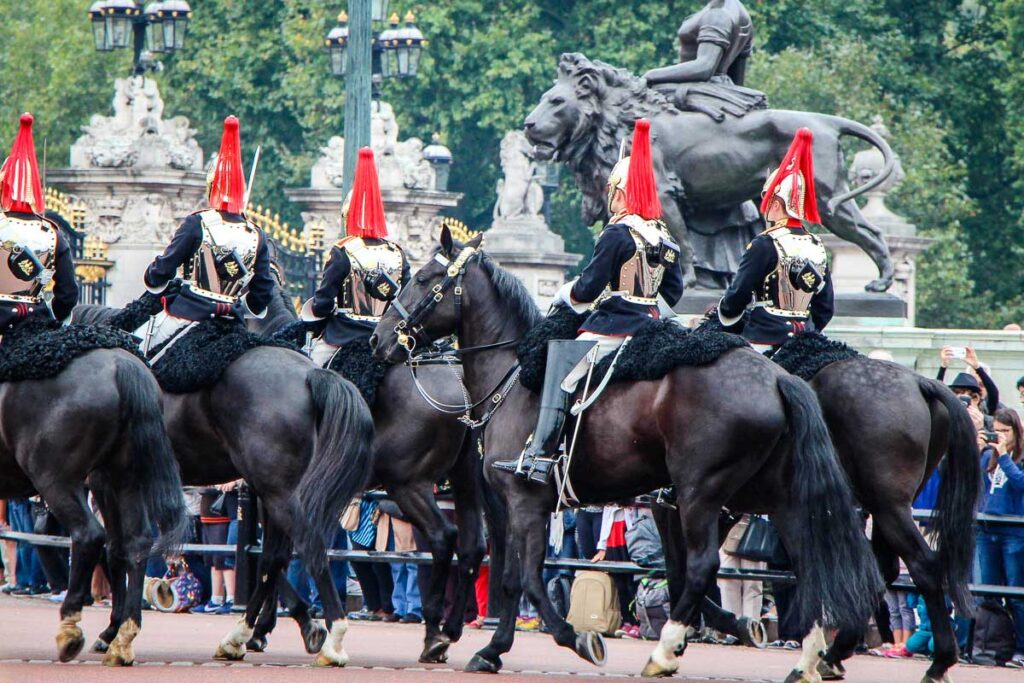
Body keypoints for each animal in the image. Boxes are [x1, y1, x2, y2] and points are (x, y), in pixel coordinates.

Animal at [0, 344, 187, 663]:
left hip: (57, 478)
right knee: (135, 542)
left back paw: (71, 629)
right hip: (123, 477)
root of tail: (122, 364)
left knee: (89, 536)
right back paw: (123, 638)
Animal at [372, 228, 884, 679]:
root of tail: (778, 377)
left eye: (424, 278)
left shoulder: (524, 500)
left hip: (701, 493)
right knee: (809, 565)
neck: (515, 373)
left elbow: (528, 579)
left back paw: (666, 651)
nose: (381, 339)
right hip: (774, 496)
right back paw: (808, 658)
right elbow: (518, 578)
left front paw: (570, 640)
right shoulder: (526, 504)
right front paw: (495, 649)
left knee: (706, 565)